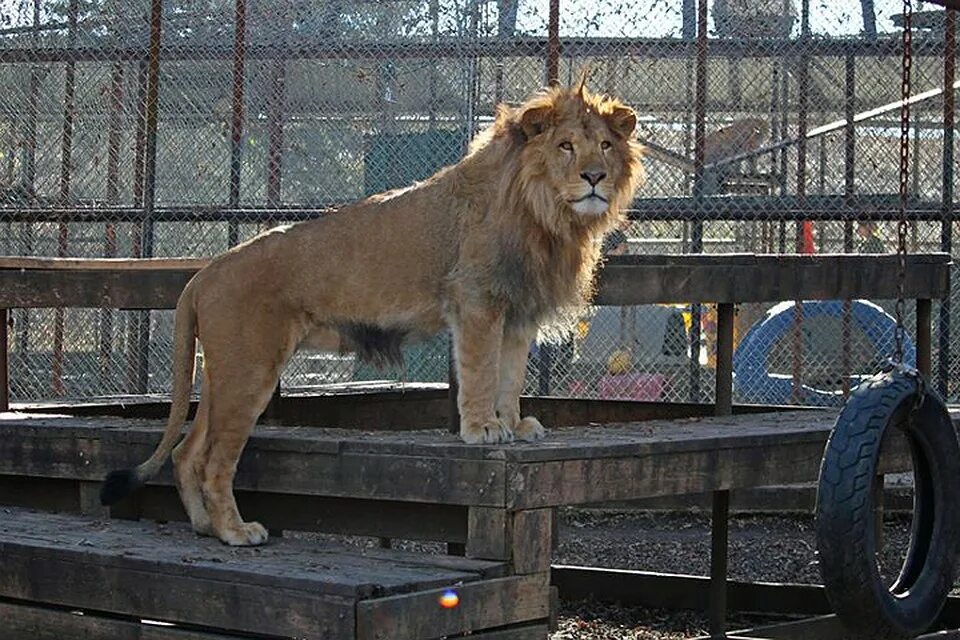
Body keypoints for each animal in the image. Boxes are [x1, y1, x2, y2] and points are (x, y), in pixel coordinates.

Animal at [99, 81, 644, 544]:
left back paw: (204, 528)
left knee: (186, 453)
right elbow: (481, 372)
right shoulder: (476, 300)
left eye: (605, 146)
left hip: (221, 373)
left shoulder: (517, 310)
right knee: (214, 460)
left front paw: (515, 424)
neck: (546, 213)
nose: (595, 178)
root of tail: (205, 273)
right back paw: (236, 533)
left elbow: (510, 376)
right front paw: (483, 429)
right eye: (566, 146)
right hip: (249, 372)